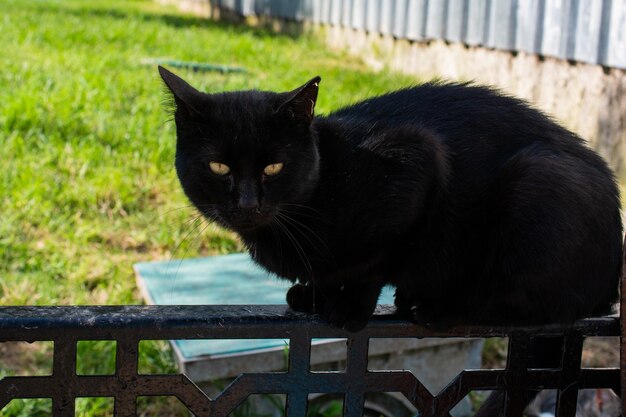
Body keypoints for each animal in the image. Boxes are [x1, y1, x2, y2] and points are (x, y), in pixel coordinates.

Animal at [160, 66, 620, 334]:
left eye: (273, 168)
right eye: (219, 167)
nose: (247, 203)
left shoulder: (416, 158)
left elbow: (374, 263)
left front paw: (348, 307)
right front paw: (314, 294)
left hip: (536, 178)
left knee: (520, 303)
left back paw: (439, 307)